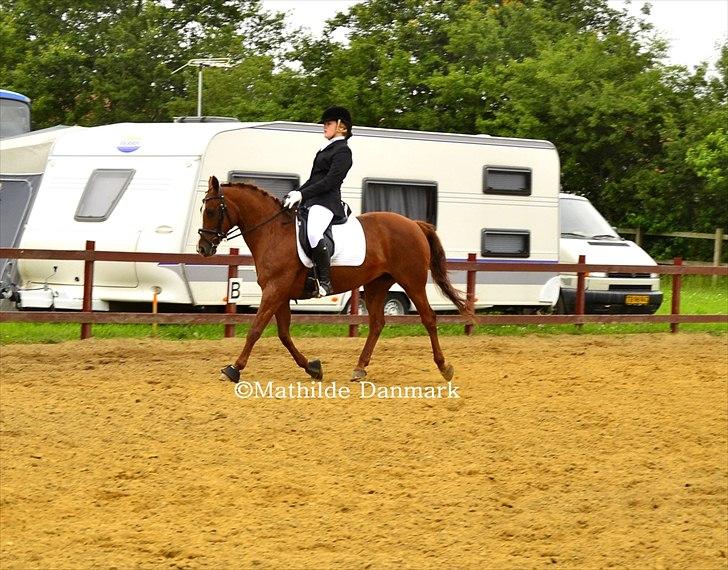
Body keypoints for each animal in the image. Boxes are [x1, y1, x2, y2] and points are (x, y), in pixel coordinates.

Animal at [198, 175, 472, 382]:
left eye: (210, 211)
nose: (203, 248)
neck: (273, 231)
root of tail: (414, 224)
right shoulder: (280, 292)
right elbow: (284, 334)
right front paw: (312, 368)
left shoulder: (275, 289)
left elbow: (255, 330)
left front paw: (233, 369)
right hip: (376, 284)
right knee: (377, 323)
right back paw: (359, 368)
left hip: (411, 281)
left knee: (429, 318)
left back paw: (444, 368)